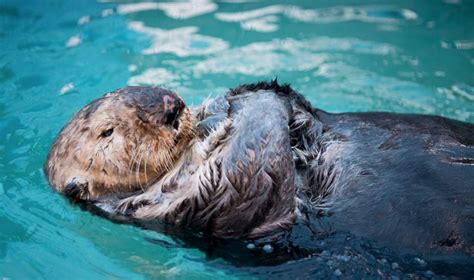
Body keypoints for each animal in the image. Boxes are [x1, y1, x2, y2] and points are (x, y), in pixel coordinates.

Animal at [44, 81, 474, 258]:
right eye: (107, 131)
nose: (171, 106)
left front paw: (232, 100)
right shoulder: (178, 204)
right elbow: (250, 169)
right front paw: (242, 107)